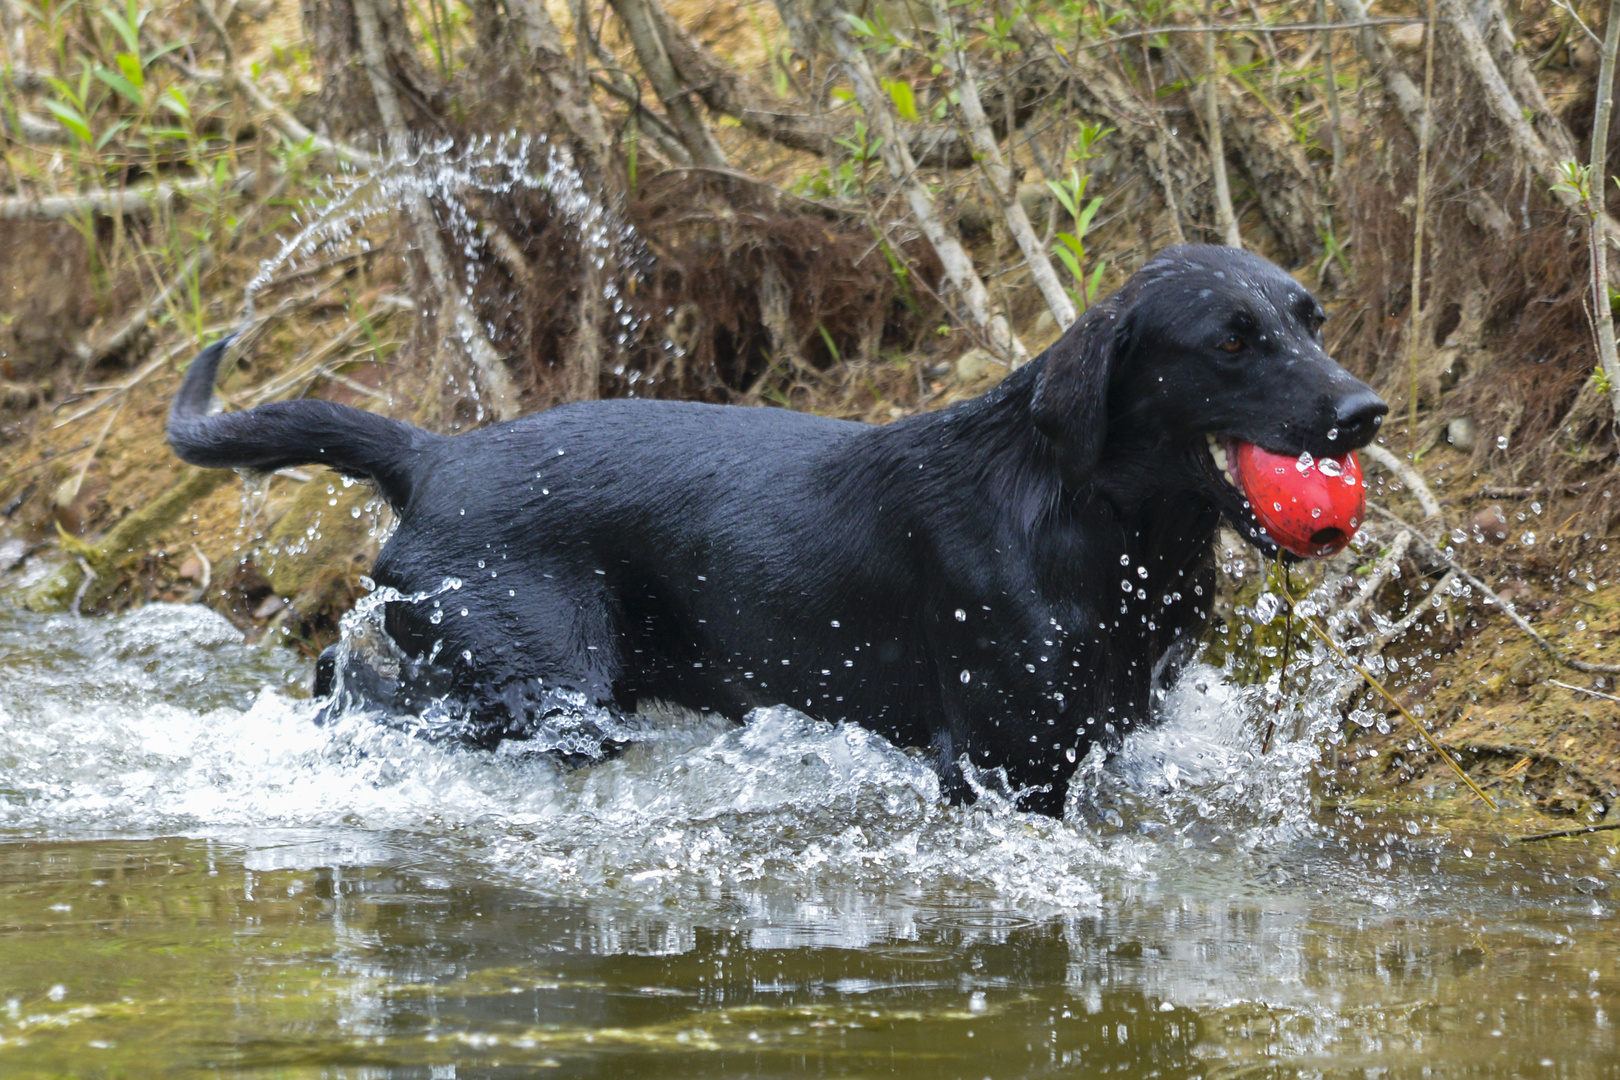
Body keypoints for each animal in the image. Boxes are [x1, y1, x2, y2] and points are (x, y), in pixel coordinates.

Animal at [167, 244, 1380, 816]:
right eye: (1231, 341)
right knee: (350, 687)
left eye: (1311, 321)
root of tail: (436, 455)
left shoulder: (1102, 739)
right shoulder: (1001, 761)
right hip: (533, 687)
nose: (1365, 410)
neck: (1097, 520)